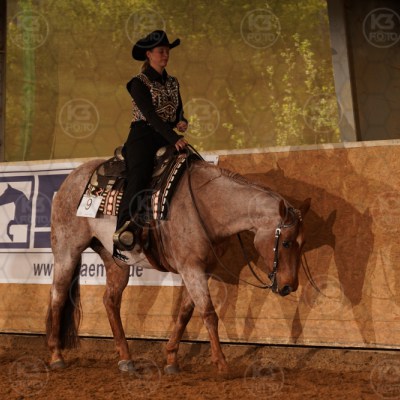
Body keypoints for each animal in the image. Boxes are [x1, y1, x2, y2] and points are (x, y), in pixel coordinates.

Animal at [46, 156, 310, 374]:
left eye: (302, 242)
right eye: (286, 242)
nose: (289, 286)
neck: (206, 206)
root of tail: (71, 179)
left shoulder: (199, 270)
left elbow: (185, 312)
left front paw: (172, 359)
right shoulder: (192, 268)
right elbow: (208, 313)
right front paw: (221, 364)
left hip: (115, 262)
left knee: (110, 301)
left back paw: (126, 358)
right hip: (67, 252)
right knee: (58, 297)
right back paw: (56, 356)